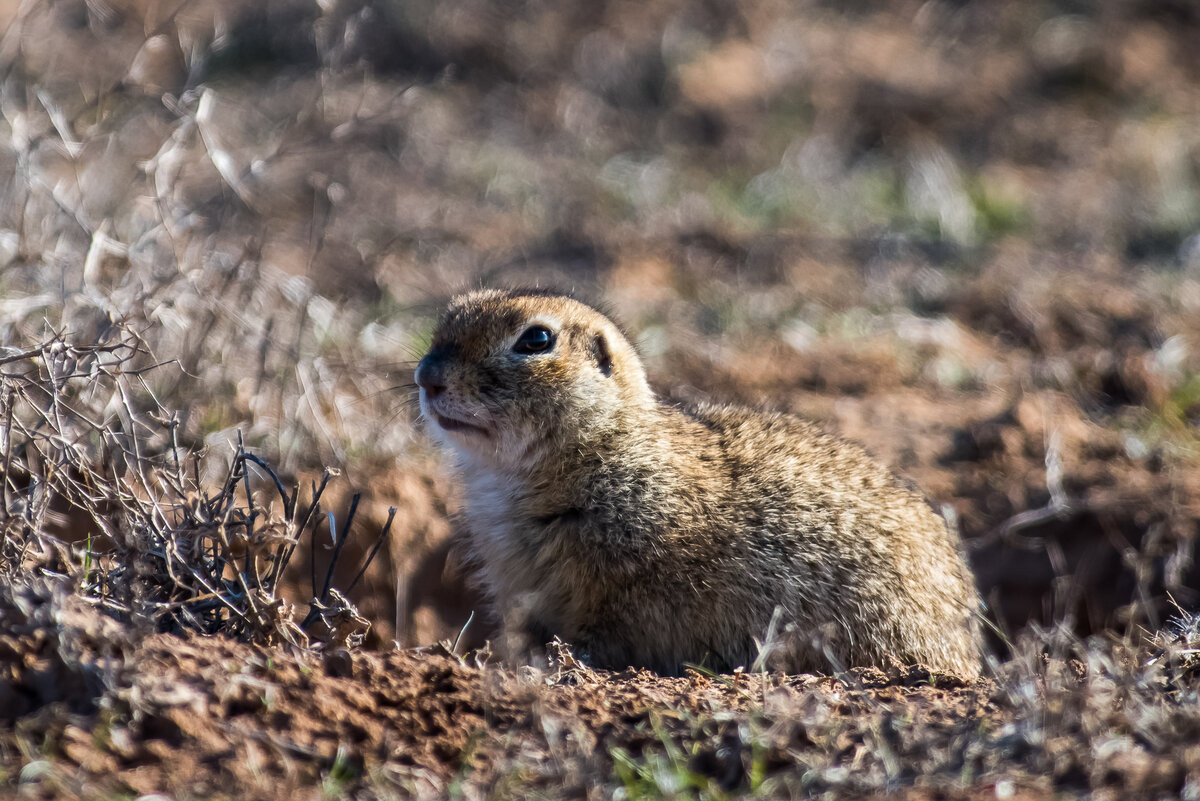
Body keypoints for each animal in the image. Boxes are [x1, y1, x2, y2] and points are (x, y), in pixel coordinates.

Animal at [417, 287, 979, 676]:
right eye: (448, 316)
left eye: (536, 339)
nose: (427, 376)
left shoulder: (621, 587)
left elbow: (603, 635)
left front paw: (561, 664)